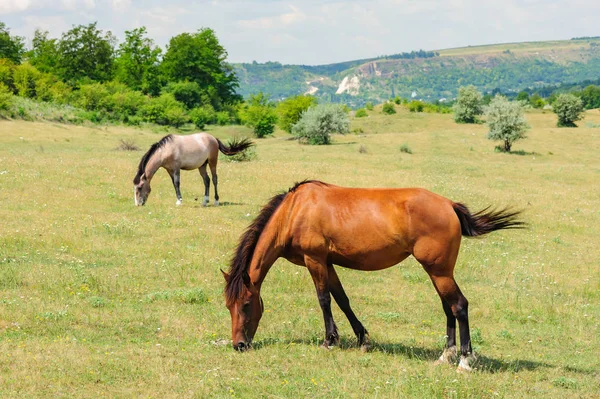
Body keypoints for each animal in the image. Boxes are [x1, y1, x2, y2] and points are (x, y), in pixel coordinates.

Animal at [223, 180, 524, 374]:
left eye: (246, 305)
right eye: (228, 306)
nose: (239, 345)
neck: (294, 211)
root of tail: (449, 204)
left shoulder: (315, 260)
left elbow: (324, 300)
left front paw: (329, 341)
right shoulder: (328, 263)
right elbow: (342, 299)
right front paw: (360, 338)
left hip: (439, 271)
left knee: (459, 306)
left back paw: (463, 360)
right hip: (438, 272)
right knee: (448, 307)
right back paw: (445, 355)